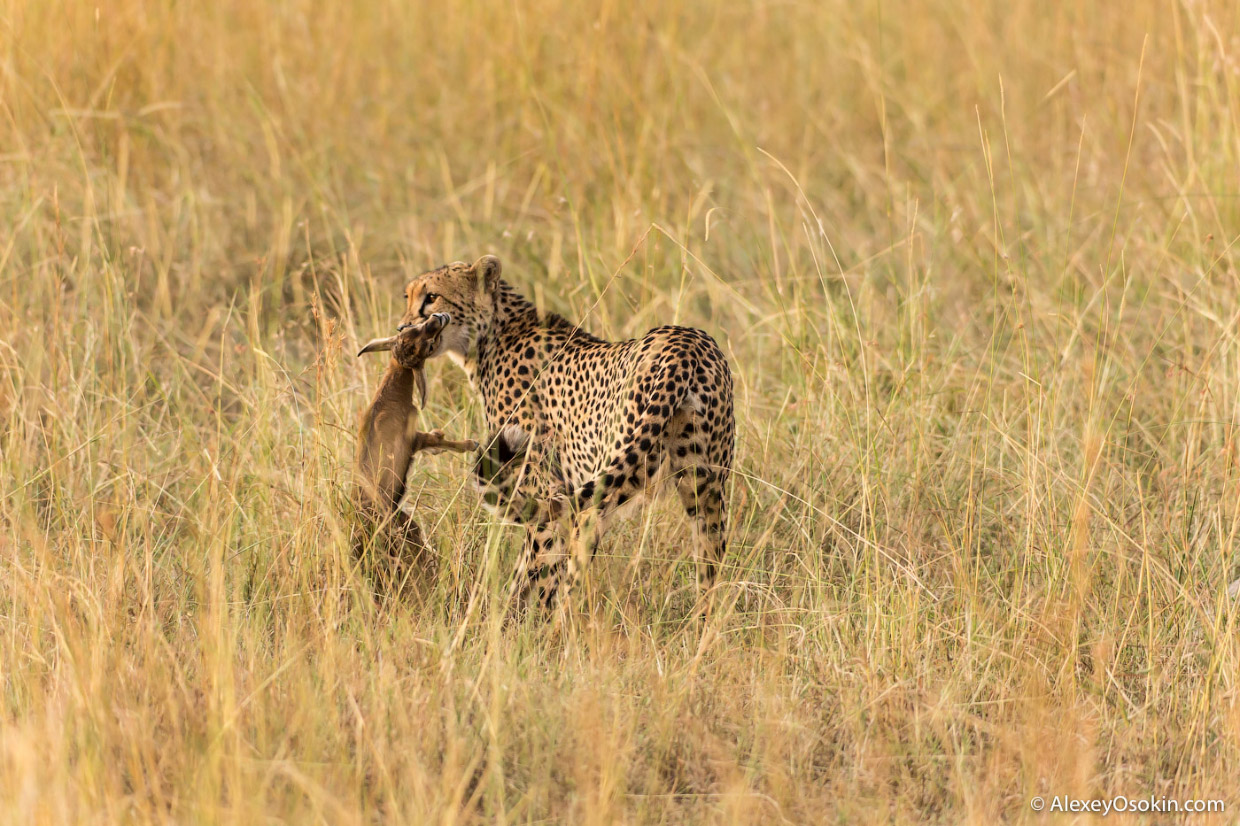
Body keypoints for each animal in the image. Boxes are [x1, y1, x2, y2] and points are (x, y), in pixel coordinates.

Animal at [391, 255, 729, 610]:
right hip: (706, 486)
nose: (402, 329)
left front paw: (515, 619)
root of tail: (684, 345)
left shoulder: (542, 488)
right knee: (709, 567)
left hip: (600, 491)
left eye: (432, 297)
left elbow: (535, 570)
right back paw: (702, 620)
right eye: (408, 297)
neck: (491, 335)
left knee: (572, 584)